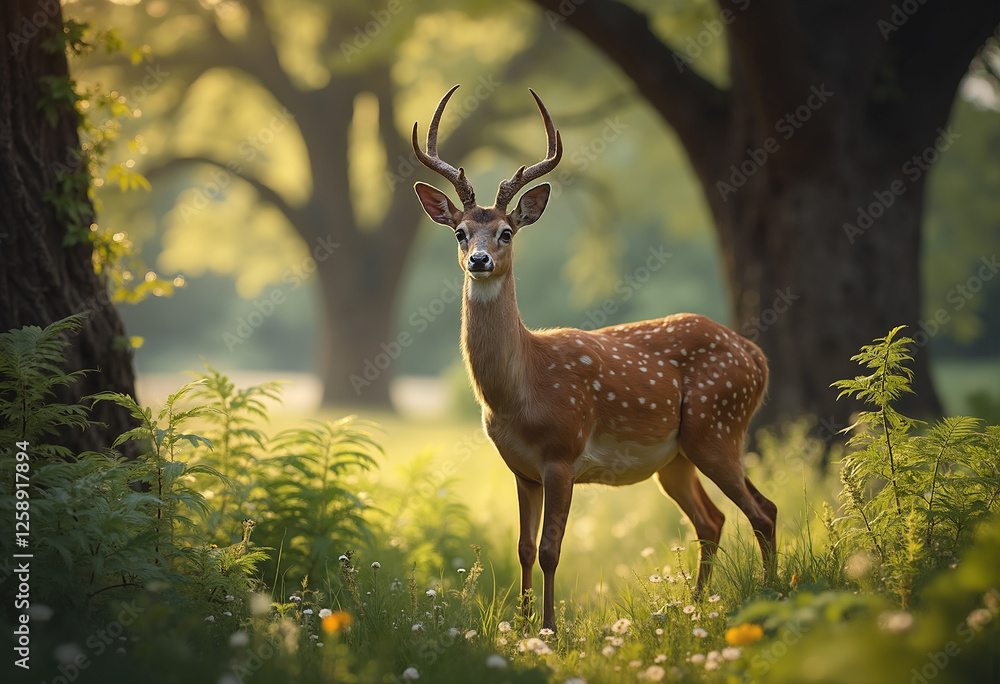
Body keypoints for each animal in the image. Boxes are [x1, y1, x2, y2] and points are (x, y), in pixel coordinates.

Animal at [412, 85, 777, 631]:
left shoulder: (563, 453)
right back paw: (696, 606)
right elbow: (522, 548)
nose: (479, 260)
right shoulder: (521, 469)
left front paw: (548, 629)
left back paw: (774, 596)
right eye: (459, 231)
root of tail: (757, 357)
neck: (520, 391)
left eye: (506, 232)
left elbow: (550, 550)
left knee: (761, 511)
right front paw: (521, 628)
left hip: (718, 426)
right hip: (679, 457)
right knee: (715, 519)